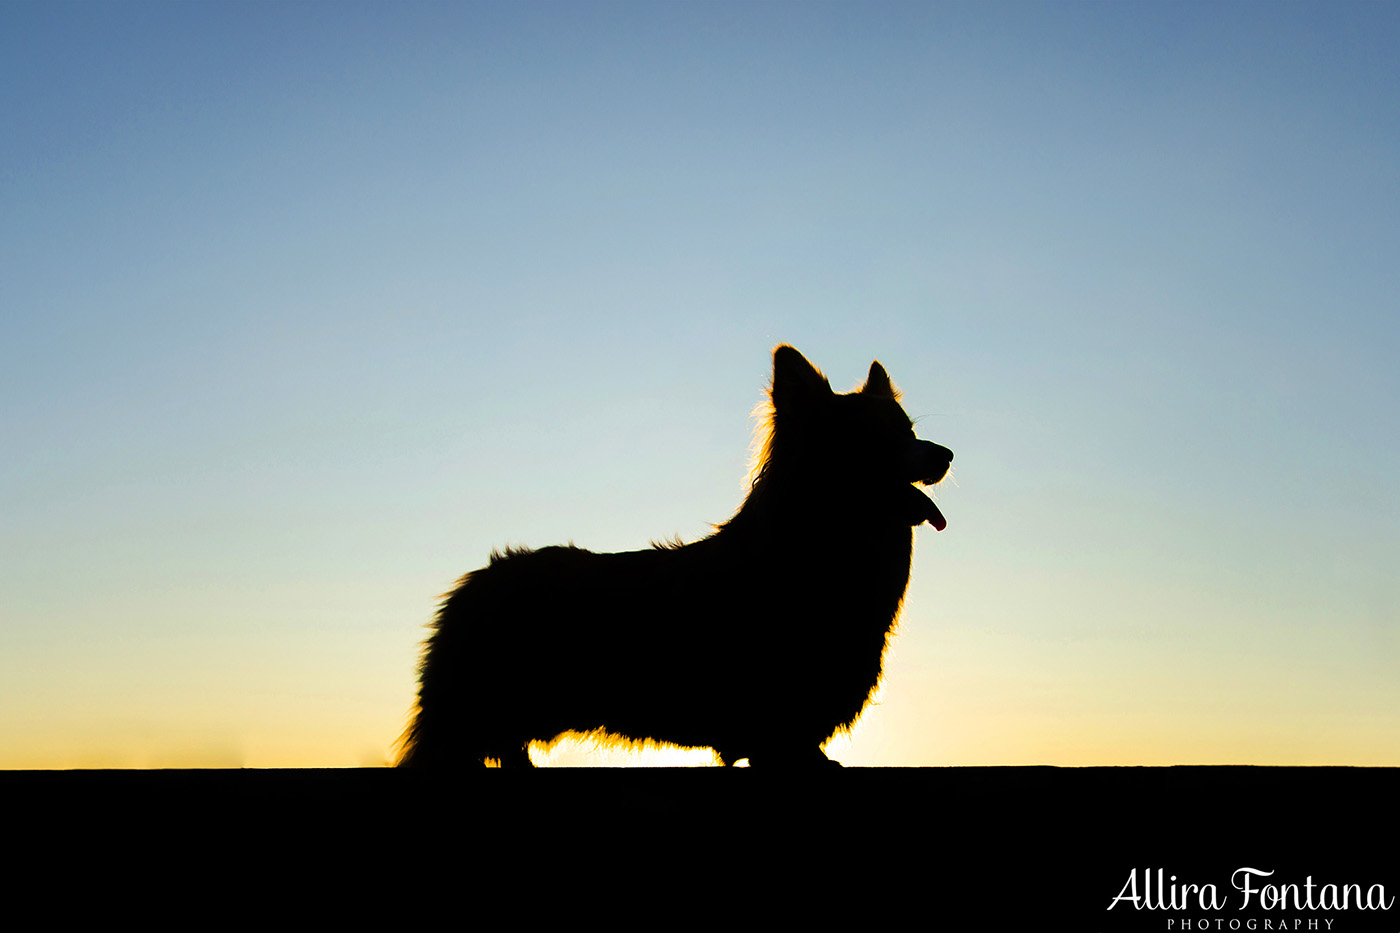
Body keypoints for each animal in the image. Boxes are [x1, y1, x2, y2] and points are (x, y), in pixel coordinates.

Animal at [400, 344, 957, 767]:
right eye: (873, 437)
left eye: (909, 430)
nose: (946, 454)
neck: (820, 545)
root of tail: (473, 582)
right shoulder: (774, 732)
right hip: (468, 718)